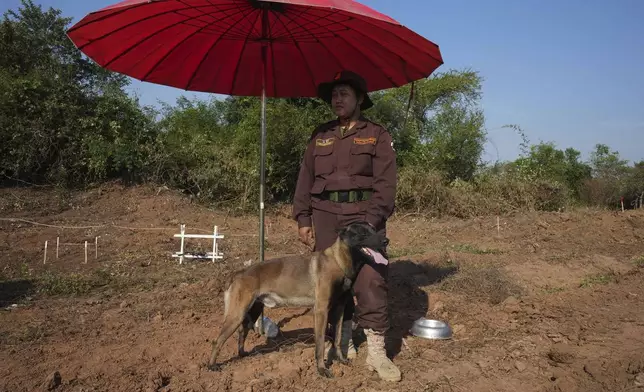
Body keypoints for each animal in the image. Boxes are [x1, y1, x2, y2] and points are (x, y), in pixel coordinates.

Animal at [208, 220, 388, 376]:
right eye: (363, 233)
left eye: (375, 230)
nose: (386, 241)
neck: (339, 262)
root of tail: (239, 273)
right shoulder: (321, 310)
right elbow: (320, 343)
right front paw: (321, 369)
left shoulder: (339, 309)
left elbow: (337, 338)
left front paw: (341, 360)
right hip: (237, 314)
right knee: (218, 341)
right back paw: (211, 366)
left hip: (253, 310)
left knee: (242, 332)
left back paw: (243, 354)